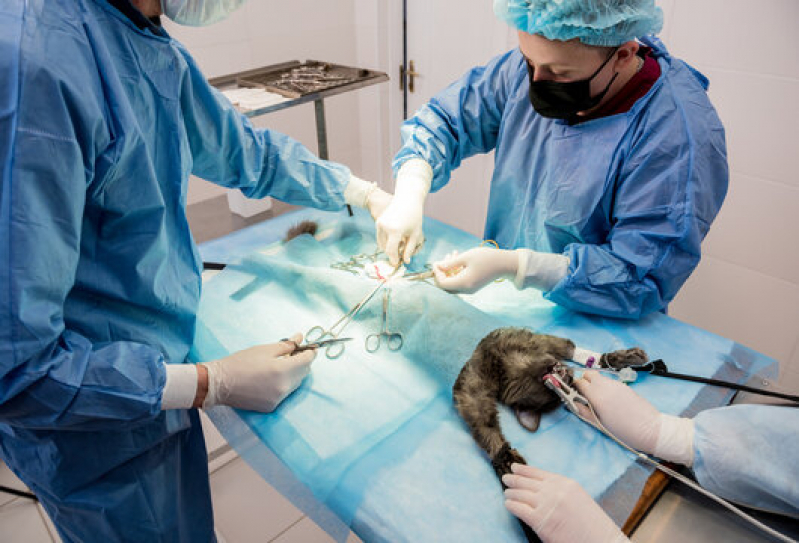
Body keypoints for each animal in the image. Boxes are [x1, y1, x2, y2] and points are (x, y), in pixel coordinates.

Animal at [454, 328, 648, 476]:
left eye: (565, 383)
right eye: (554, 390)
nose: (567, 373)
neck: (510, 362)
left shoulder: (540, 342)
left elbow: (574, 350)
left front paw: (618, 358)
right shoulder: (471, 390)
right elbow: (486, 426)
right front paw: (504, 459)